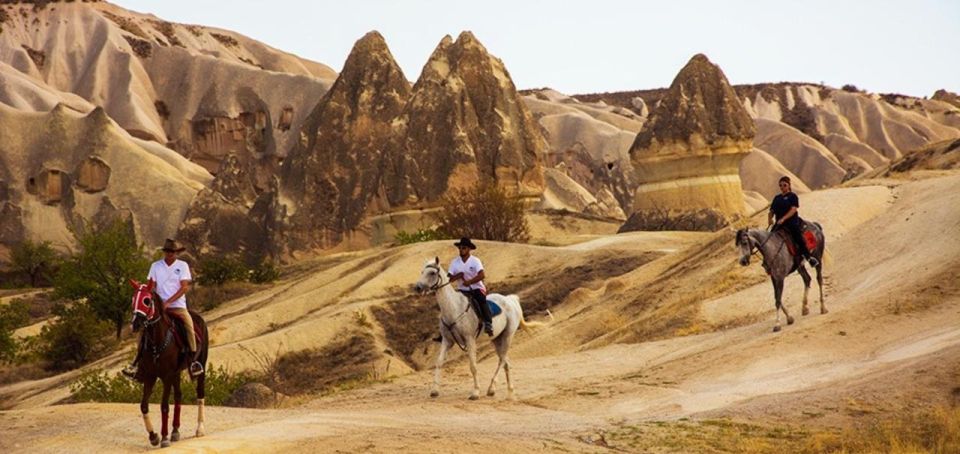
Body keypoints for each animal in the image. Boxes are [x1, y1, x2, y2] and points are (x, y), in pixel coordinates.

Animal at [129, 280, 208, 446]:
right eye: (133, 300)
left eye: (146, 300)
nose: (135, 324)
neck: (157, 343)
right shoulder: (150, 376)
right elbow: (144, 406)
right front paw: (154, 436)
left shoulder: (166, 376)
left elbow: (164, 406)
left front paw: (164, 437)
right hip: (176, 373)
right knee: (178, 395)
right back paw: (175, 430)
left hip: (201, 365)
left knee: (200, 393)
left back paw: (199, 429)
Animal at [414, 258, 544, 400]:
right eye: (422, 272)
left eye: (432, 273)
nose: (418, 287)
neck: (454, 309)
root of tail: (511, 299)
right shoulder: (447, 341)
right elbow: (439, 363)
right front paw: (434, 391)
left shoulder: (470, 340)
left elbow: (473, 366)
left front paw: (475, 392)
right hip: (496, 339)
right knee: (505, 362)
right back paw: (505, 391)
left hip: (507, 336)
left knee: (503, 360)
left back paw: (496, 389)